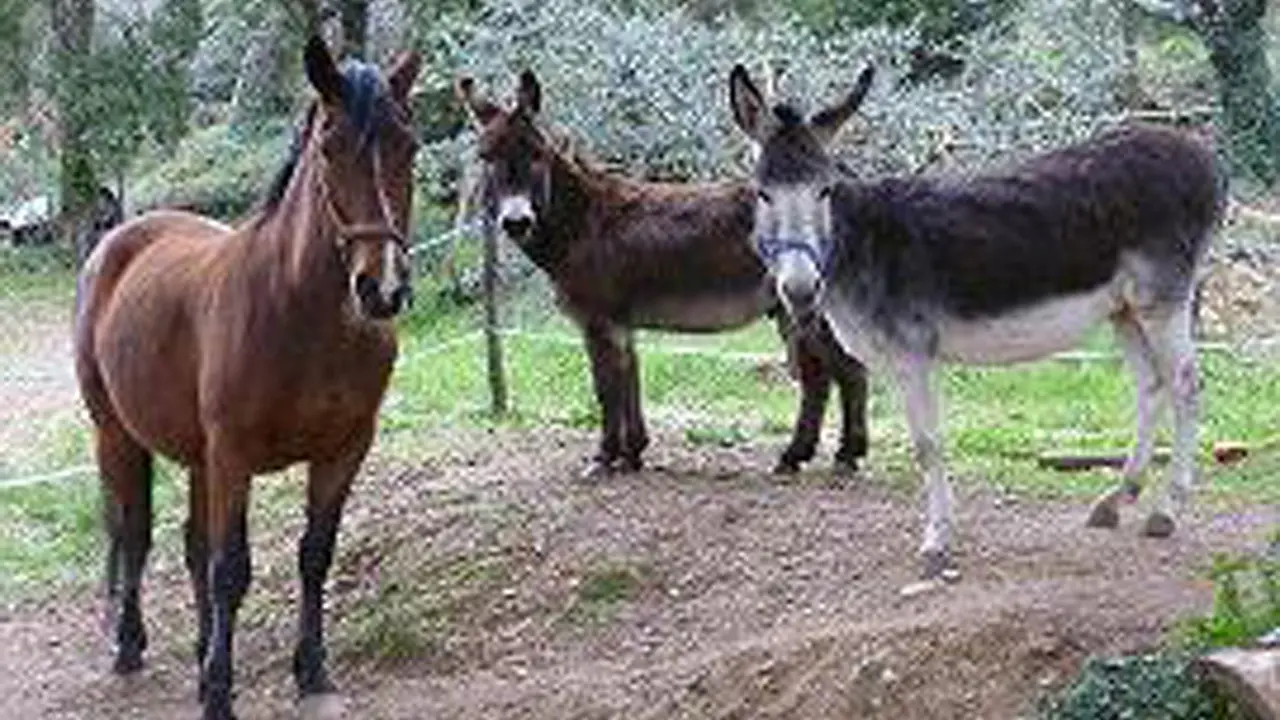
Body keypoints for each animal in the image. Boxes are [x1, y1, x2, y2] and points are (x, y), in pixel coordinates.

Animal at [73, 35, 419, 717]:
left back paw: (202, 649)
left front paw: (310, 671)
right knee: (134, 535)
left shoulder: (343, 451)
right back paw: (129, 645)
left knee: (188, 545)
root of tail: (115, 242)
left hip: (196, 457)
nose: (381, 289)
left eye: (409, 145)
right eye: (329, 147)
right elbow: (231, 569)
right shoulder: (233, 454)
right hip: (117, 436)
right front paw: (218, 693)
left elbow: (313, 555)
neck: (300, 317)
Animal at [453, 71, 870, 476]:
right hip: (791, 307)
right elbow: (629, 381)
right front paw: (632, 455)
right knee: (823, 378)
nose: (516, 222)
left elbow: (606, 388)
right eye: (485, 157)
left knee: (845, 372)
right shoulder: (620, 322)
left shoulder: (598, 322)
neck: (583, 220)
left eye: (537, 155)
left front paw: (604, 458)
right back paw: (803, 456)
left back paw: (840, 455)